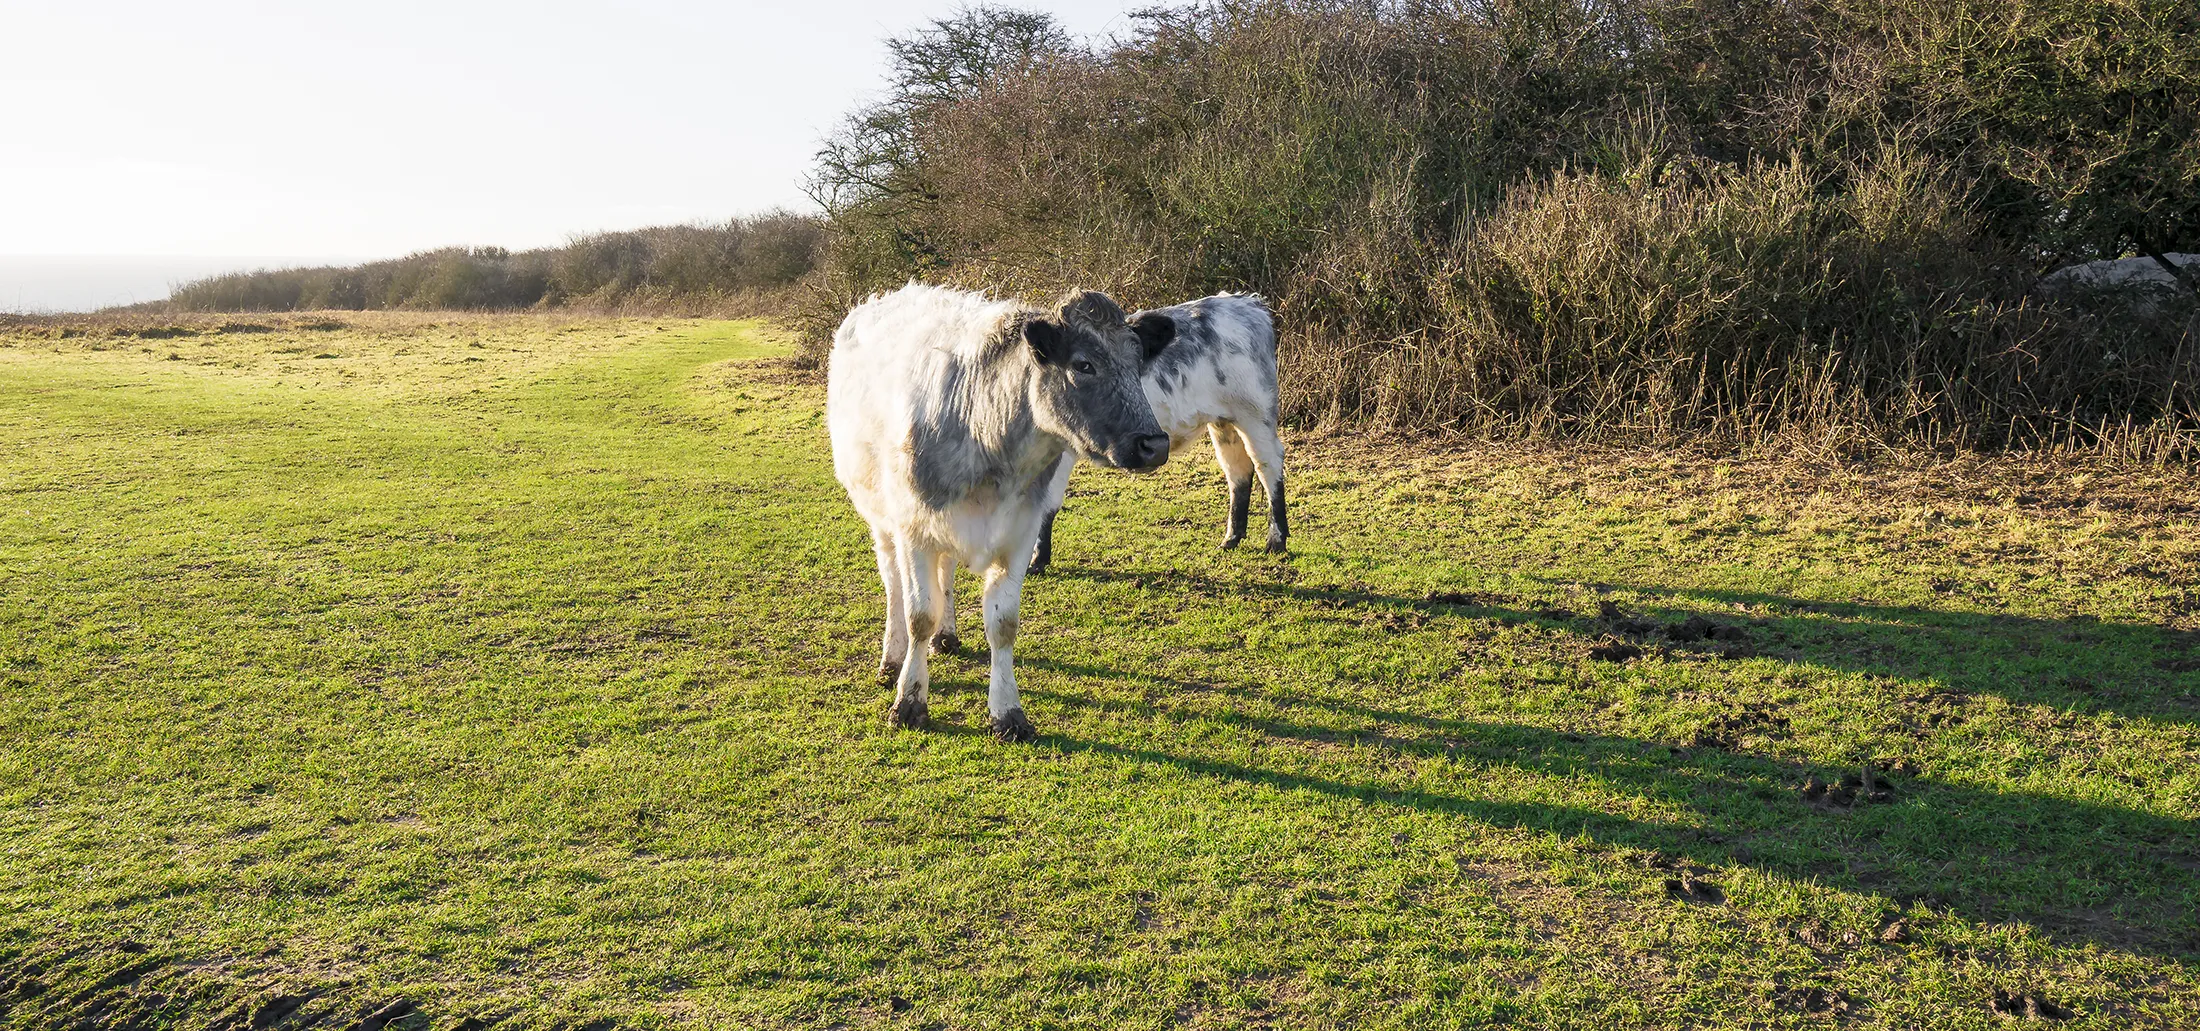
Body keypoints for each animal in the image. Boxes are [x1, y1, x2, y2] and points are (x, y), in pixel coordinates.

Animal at [827, 283, 1175, 742]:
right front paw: (909, 700)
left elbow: (1003, 624)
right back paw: (892, 657)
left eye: (1138, 364)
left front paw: (1008, 710)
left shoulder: (1019, 533)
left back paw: (947, 635)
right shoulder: (914, 527)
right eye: (1083, 364)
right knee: (894, 585)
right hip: (880, 516)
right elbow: (919, 613)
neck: (985, 427)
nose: (1155, 444)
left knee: (946, 572)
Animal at [1028, 292, 1286, 571]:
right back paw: (1231, 539)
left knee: (1268, 465)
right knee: (1237, 471)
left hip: (1256, 415)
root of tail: (1246, 302)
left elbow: (1046, 503)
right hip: (1224, 423)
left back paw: (1276, 540)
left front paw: (1037, 560)